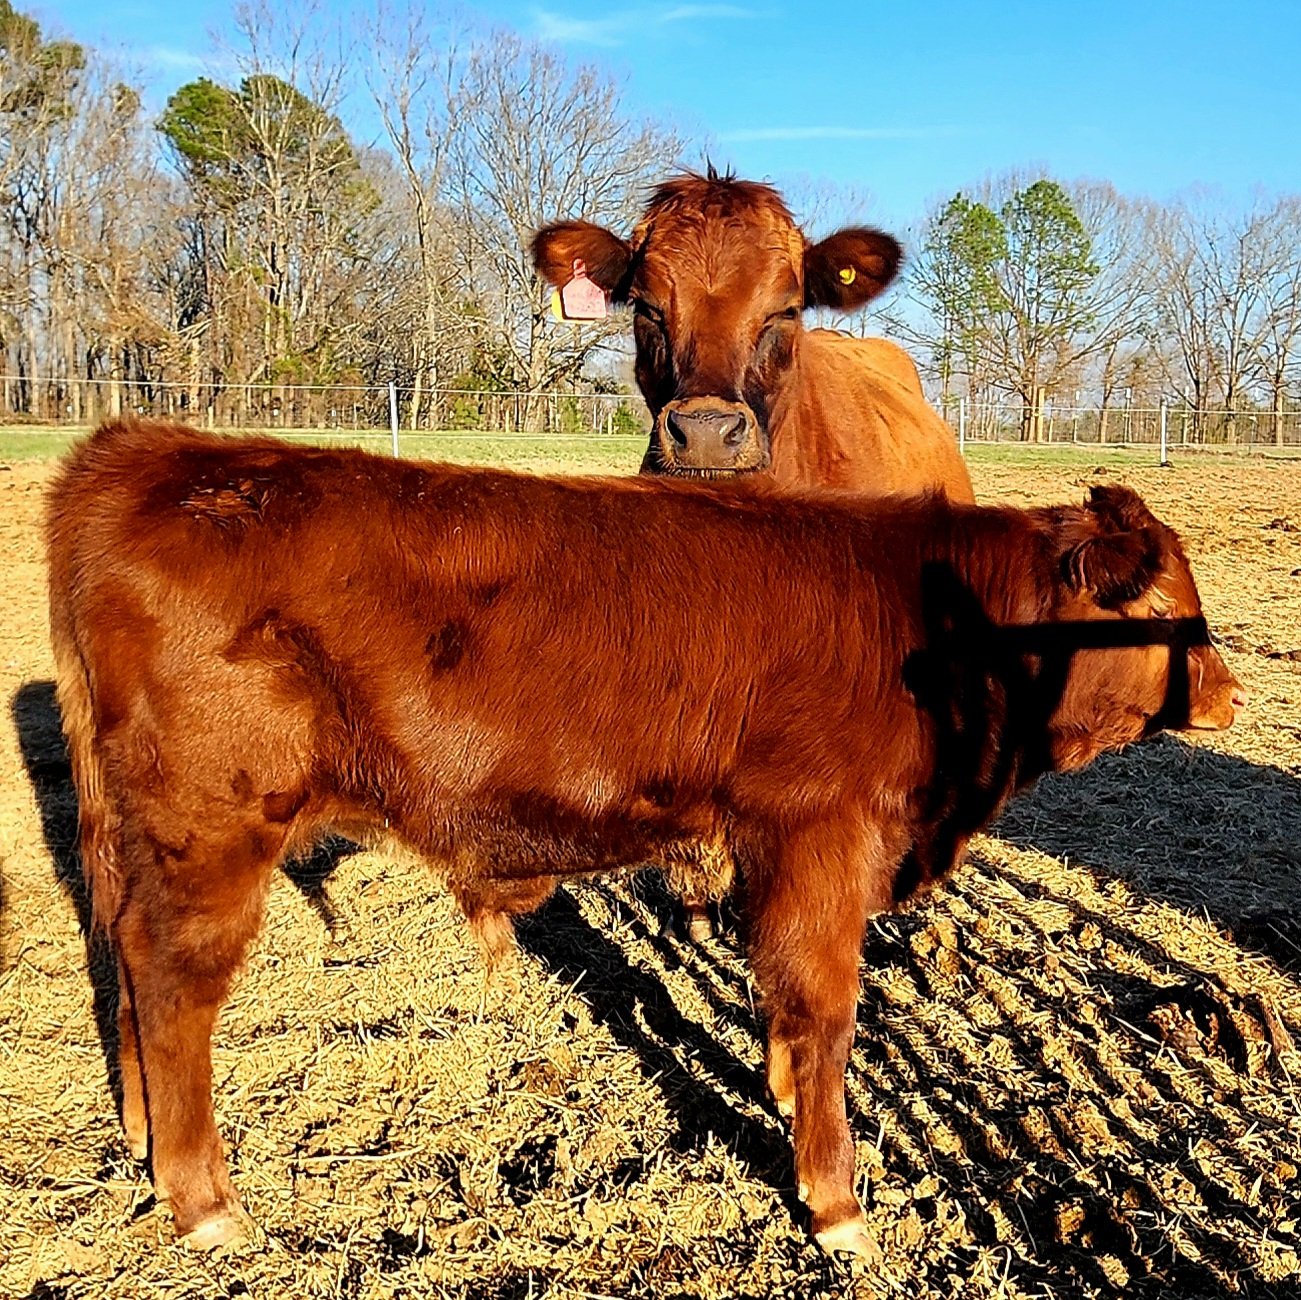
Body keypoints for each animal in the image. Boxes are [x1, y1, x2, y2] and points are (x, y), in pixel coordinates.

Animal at [47, 421, 1242, 1260]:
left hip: (145, 838)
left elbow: (780, 997)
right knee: (175, 983)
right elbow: (823, 1003)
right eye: (1164, 612)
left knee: (125, 963)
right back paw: (206, 1201)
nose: (1231, 692)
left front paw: (776, 1096)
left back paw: (142, 1142)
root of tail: (147, 452)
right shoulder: (820, 829)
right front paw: (834, 1201)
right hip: (212, 822)